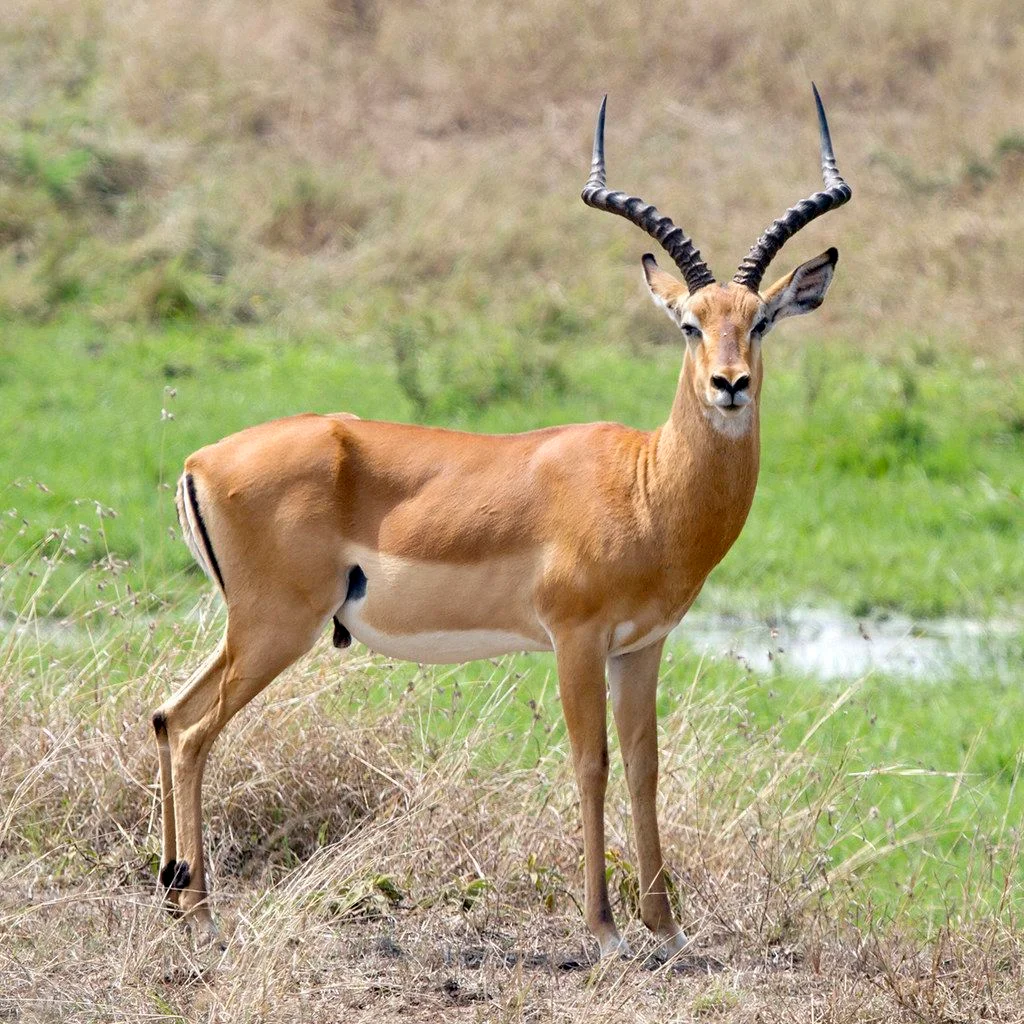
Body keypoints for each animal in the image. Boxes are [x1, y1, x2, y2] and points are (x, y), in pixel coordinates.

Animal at [153, 84, 851, 959]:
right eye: (689, 323)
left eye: (760, 321)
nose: (730, 384)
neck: (647, 485)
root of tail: (200, 460)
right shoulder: (577, 639)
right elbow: (590, 764)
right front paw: (604, 928)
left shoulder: (641, 646)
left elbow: (646, 767)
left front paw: (666, 928)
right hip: (278, 626)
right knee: (193, 732)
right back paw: (202, 915)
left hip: (252, 629)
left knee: (167, 715)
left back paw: (175, 897)